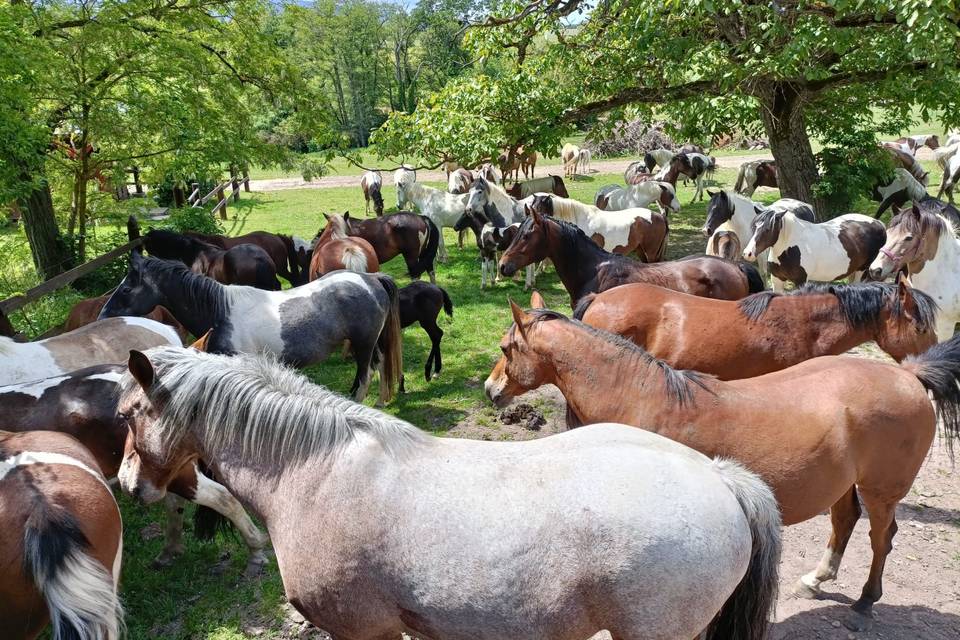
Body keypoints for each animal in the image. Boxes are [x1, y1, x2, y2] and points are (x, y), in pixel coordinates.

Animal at [98, 252, 403, 404]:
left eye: (125, 289)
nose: (103, 316)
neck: (220, 311)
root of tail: (371, 279)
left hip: (363, 345)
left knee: (364, 376)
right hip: (371, 343)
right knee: (380, 364)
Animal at [486, 300, 960, 631]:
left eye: (506, 348)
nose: (491, 390)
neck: (639, 396)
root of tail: (909, 375)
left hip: (883, 491)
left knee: (881, 539)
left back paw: (863, 603)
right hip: (844, 484)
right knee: (845, 521)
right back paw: (815, 580)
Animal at [743, 209, 886, 292]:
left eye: (767, 229)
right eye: (754, 227)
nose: (748, 253)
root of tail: (879, 223)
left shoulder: (800, 281)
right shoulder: (777, 280)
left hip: (863, 271)